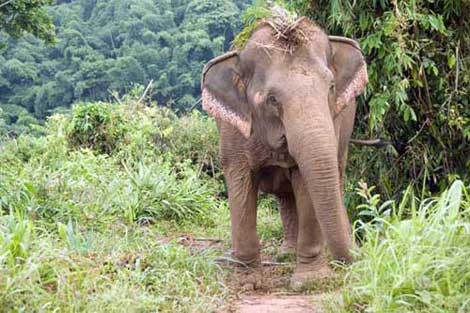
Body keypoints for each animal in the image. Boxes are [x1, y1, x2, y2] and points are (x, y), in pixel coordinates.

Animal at [200, 14, 370, 286]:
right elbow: (240, 181)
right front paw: (247, 282)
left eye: (331, 87)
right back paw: (285, 254)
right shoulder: (232, 131)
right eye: (272, 99)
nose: (353, 263)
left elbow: (307, 180)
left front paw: (310, 281)